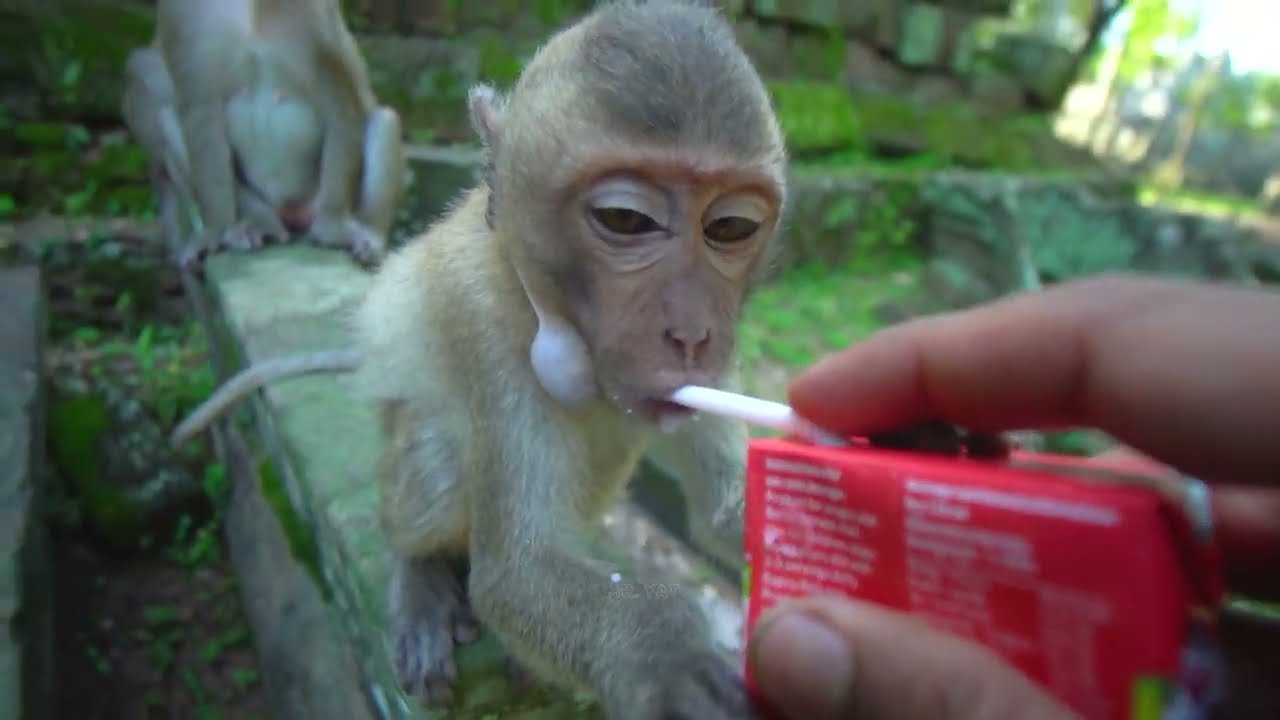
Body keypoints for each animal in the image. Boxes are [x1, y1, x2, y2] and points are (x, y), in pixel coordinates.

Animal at [121, 0, 406, 270]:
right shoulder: (180, 14)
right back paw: (258, 221)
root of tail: (291, 213)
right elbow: (200, 111)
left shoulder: (316, 15)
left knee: (384, 121)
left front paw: (333, 226)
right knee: (169, 123)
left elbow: (340, 102)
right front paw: (214, 231)